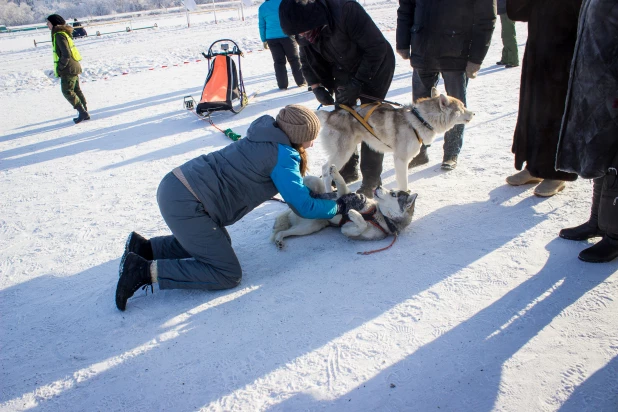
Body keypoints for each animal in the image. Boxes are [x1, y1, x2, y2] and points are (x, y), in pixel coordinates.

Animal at [268, 166, 416, 249]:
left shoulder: (347, 230)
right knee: (307, 182)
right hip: (315, 184)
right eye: (391, 190)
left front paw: (353, 214)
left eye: (393, 194)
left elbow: (360, 226)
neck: (378, 215)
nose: (379, 186)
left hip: (308, 227)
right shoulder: (344, 193)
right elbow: (342, 184)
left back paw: (279, 240)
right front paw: (335, 173)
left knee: (283, 232)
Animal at [316, 87, 474, 193]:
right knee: (325, 170)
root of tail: (329, 115)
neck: (419, 119)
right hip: (343, 152)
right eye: (462, 107)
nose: (473, 113)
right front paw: (404, 194)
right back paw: (329, 192)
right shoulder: (400, 158)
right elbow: (403, 181)